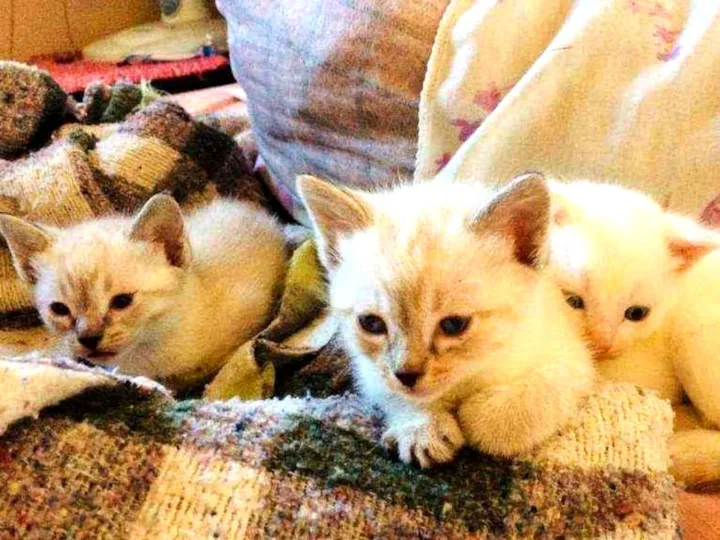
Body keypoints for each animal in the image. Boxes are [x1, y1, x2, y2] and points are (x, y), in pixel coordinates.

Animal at [297, 173, 595, 467]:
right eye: (371, 323)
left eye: (454, 325)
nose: (406, 375)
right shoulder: (371, 372)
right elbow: (393, 393)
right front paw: (421, 428)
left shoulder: (571, 357)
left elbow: (538, 394)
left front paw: (477, 417)